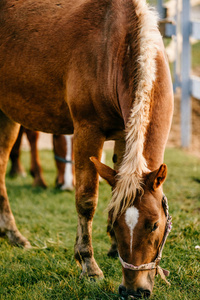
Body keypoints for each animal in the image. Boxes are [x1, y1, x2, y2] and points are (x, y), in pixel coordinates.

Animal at [0, 0, 173, 298]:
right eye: (117, 224)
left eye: (154, 225)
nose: (133, 290)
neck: (118, 46)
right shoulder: (87, 131)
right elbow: (86, 201)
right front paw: (89, 265)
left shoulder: (124, 135)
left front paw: (112, 249)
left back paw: (11, 234)